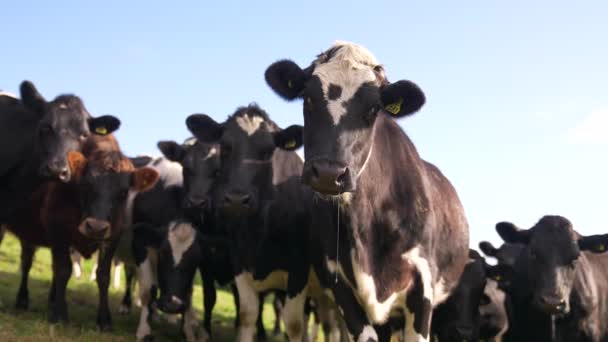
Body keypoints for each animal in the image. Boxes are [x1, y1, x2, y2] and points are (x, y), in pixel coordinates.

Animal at [5, 134, 158, 332]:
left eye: (124, 192)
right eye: (86, 184)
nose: (96, 227)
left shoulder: (112, 237)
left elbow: (103, 275)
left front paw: (104, 320)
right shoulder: (58, 230)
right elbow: (63, 270)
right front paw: (60, 314)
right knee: (27, 263)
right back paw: (23, 299)